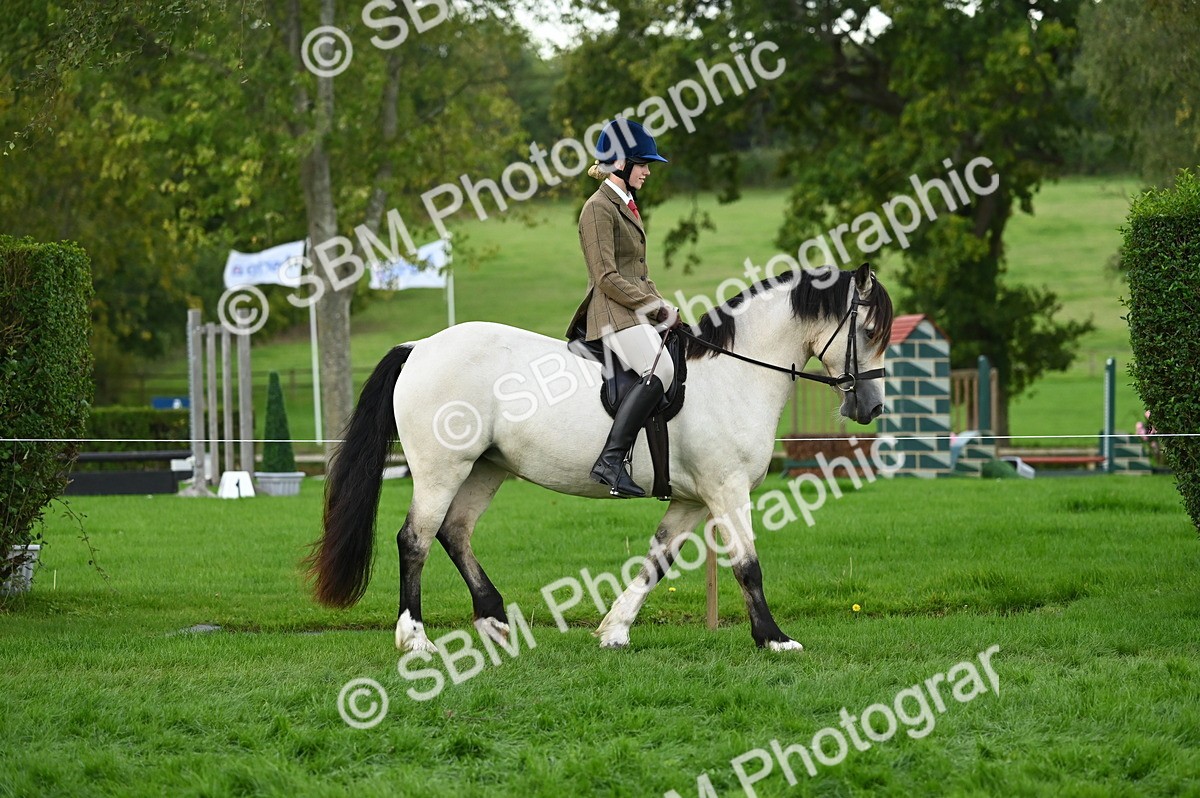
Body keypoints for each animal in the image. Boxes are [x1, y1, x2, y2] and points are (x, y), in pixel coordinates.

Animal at [307, 263, 893, 651]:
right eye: (869, 330)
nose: (869, 406)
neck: (734, 371)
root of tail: (420, 347)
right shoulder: (726, 489)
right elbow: (748, 565)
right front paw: (773, 638)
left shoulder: (693, 499)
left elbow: (657, 561)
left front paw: (614, 630)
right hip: (441, 468)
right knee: (417, 539)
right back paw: (415, 638)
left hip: (486, 468)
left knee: (455, 533)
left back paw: (494, 620)